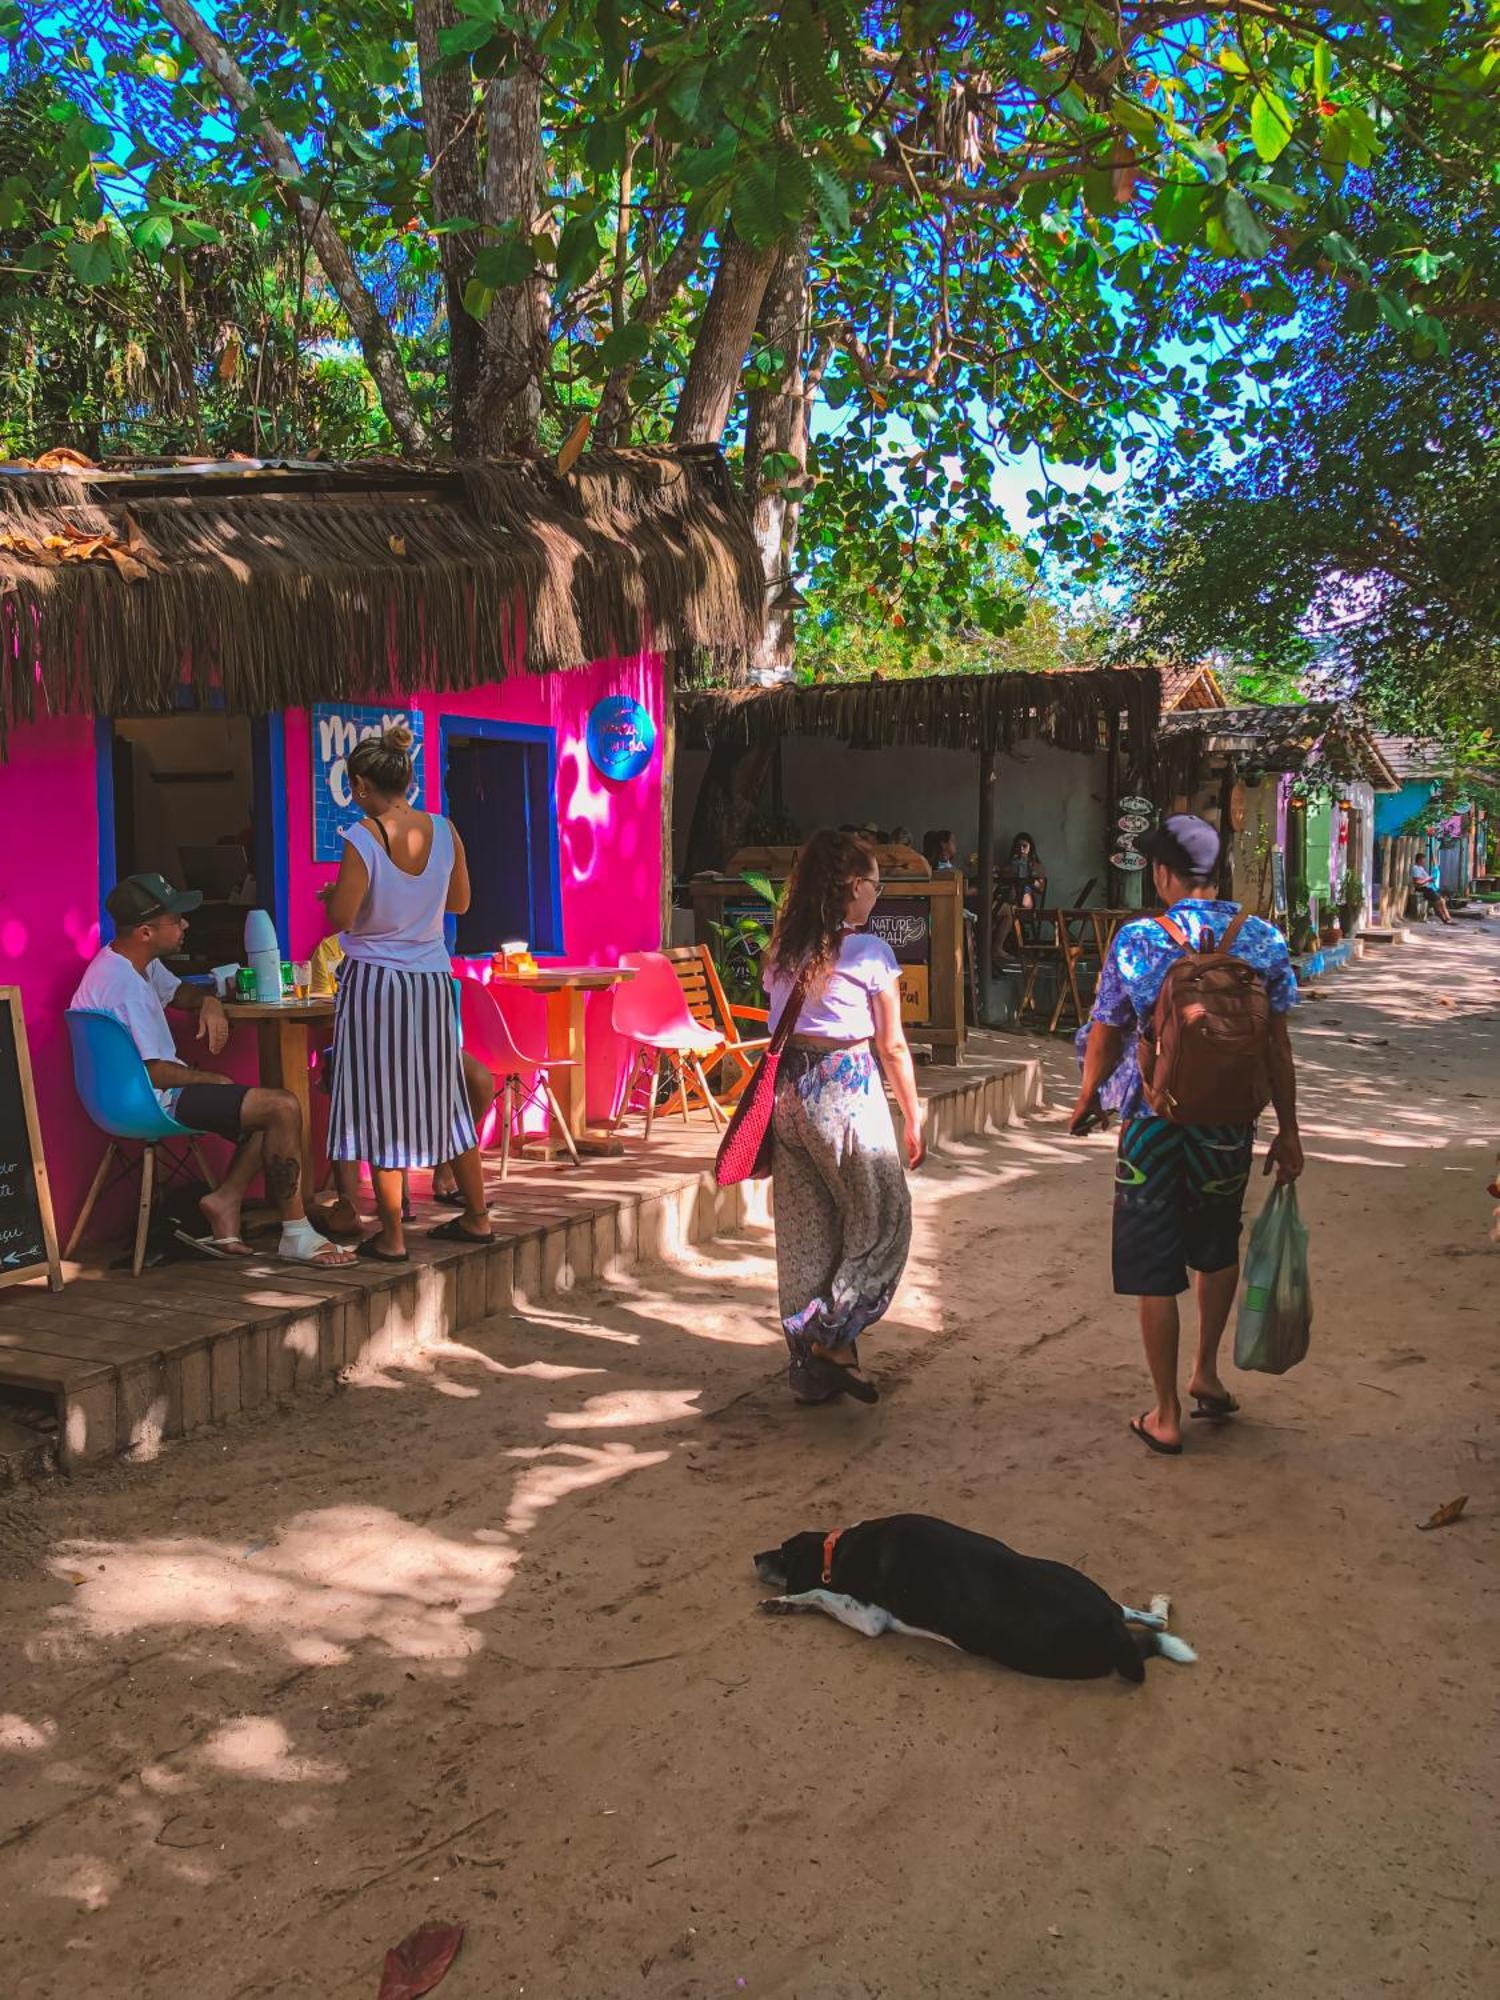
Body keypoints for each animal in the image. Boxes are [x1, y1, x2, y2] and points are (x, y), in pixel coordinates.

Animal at [756, 1512, 1208, 1688]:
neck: (839, 1548)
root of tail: (1113, 1632)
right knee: (1146, 1618)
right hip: (1081, 1582)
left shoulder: (870, 1617)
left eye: (783, 1552)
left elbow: (820, 1593)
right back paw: (1158, 1607)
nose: (755, 1557)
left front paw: (787, 1602)